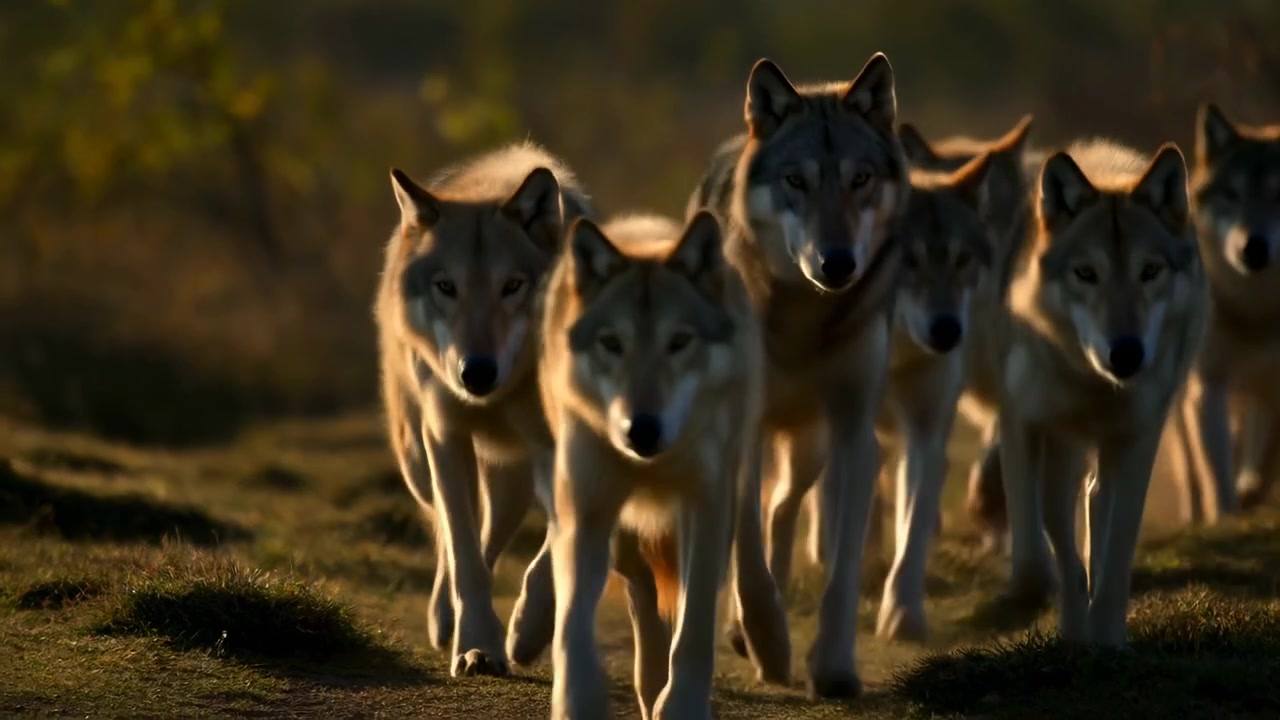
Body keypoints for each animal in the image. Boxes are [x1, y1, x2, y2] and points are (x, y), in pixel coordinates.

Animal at [376, 141, 593, 677]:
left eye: (512, 286)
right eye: (446, 287)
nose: (475, 373)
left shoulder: (562, 447)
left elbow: (546, 559)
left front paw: (527, 633)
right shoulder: (445, 435)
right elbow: (464, 554)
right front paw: (477, 646)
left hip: (512, 480)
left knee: (490, 533)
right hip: (418, 459)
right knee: (452, 533)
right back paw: (443, 619)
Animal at [542, 211, 785, 720]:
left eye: (679, 342)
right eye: (612, 343)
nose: (642, 429)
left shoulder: (705, 506)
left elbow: (693, 629)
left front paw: (682, 705)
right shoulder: (586, 512)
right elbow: (572, 627)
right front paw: (579, 704)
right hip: (622, 537)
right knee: (642, 595)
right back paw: (650, 684)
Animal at [687, 52, 909, 698]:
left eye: (860, 180)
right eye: (796, 182)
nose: (837, 263)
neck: (805, 316)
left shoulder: (856, 432)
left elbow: (842, 569)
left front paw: (833, 666)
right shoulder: (742, 429)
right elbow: (748, 559)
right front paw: (768, 642)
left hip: (812, 442)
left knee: (783, 506)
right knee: (756, 522)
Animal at [963, 139, 1206, 644]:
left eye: (1149, 271)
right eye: (1086, 273)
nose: (1126, 353)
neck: (1097, 386)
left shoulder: (1137, 440)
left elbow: (1115, 555)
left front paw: (1108, 639)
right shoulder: (1034, 428)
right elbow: (1048, 549)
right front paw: (1070, 628)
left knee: (1096, 501)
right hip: (1061, 445)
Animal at [1172, 104, 1280, 524]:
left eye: (1279, 196)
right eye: (1231, 195)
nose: (1253, 247)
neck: (1257, 309)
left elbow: (1265, 458)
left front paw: (1251, 491)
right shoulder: (1209, 384)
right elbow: (1215, 467)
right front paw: (1224, 516)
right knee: (1189, 464)